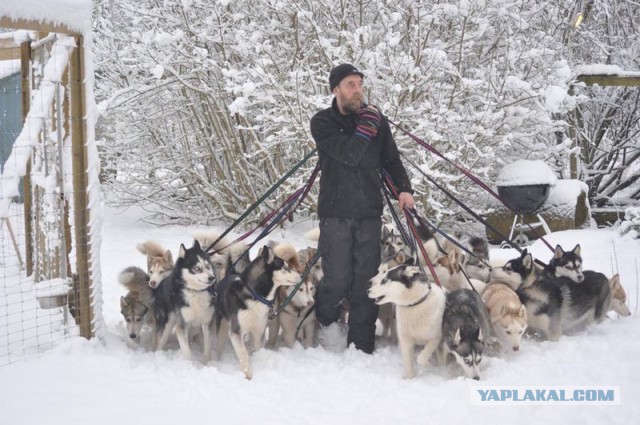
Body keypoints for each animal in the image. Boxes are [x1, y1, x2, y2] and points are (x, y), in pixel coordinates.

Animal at [216, 243, 302, 380]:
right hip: (223, 328)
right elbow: (243, 353)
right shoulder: (236, 331)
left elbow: (258, 350)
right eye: (285, 267)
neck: (255, 295)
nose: (301, 275)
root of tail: (231, 274)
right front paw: (248, 375)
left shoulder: (258, 332)